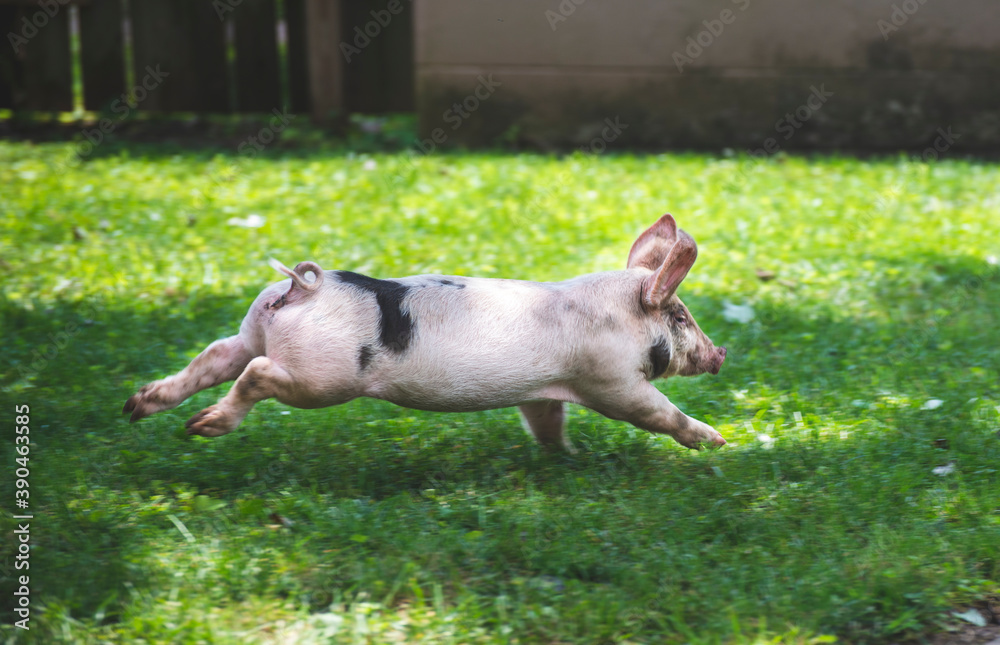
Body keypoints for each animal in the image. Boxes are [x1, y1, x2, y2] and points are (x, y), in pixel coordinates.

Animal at [123, 214, 727, 450]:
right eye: (679, 317)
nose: (720, 352)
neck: (614, 315)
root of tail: (307, 289)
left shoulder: (543, 392)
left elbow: (546, 422)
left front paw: (566, 457)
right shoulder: (610, 379)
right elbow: (659, 414)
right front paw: (717, 442)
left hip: (254, 329)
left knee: (216, 355)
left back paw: (138, 406)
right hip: (320, 378)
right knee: (255, 372)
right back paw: (202, 427)